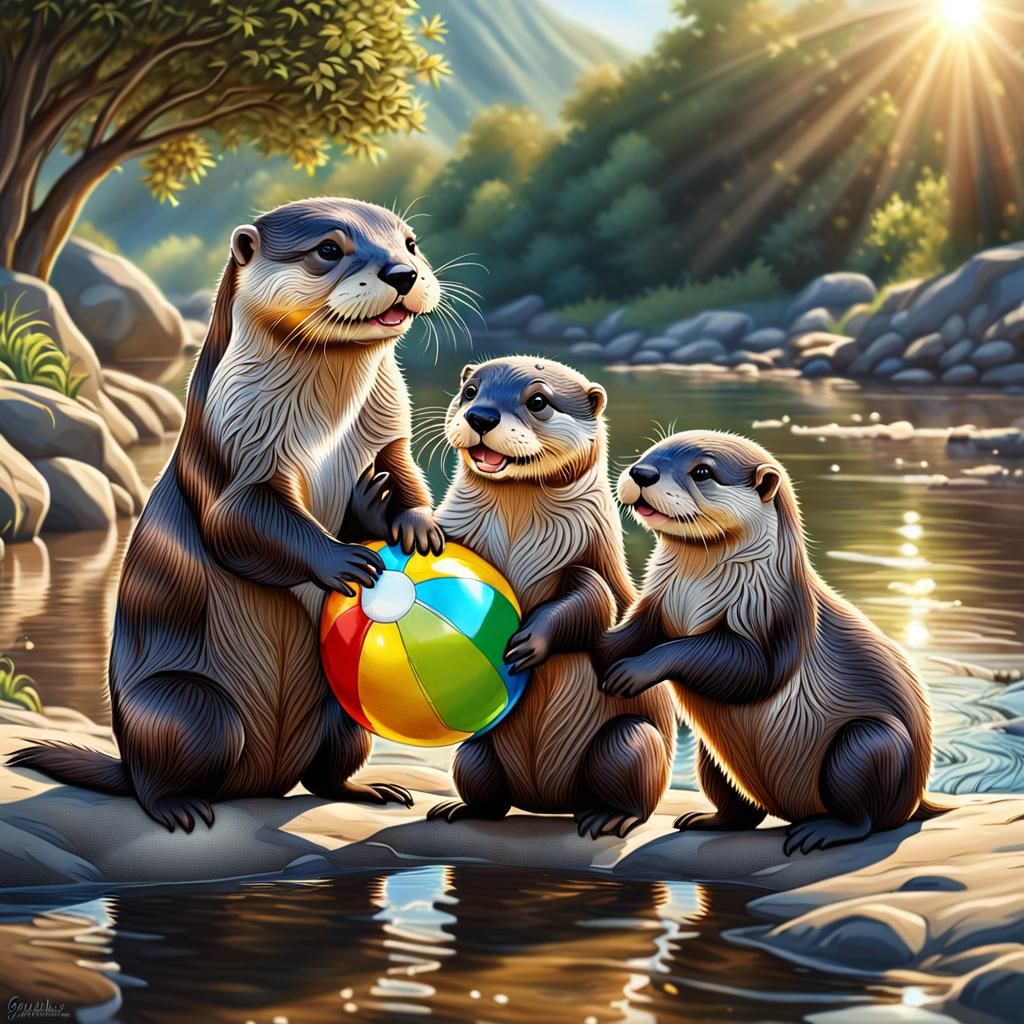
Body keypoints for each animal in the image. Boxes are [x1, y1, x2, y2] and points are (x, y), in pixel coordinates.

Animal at [11, 198, 446, 832]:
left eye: (411, 243)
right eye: (329, 249)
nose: (403, 273)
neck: (329, 434)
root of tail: (263, 780)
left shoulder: (390, 429)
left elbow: (407, 477)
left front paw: (412, 521)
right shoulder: (237, 447)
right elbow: (243, 523)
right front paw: (344, 560)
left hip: (343, 709)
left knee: (327, 768)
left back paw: (371, 790)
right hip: (188, 710)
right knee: (158, 775)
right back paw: (178, 808)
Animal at [426, 357, 676, 839]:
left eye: (538, 400)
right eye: (470, 391)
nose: (481, 416)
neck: (516, 532)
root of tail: (547, 804)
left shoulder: (588, 557)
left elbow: (593, 603)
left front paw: (529, 643)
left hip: (631, 743)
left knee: (635, 784)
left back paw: (611, 817)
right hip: (473, 752)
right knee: (484, 789)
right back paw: (461, 810)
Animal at [600, 429, 945, 854]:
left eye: (702, 471)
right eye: (650, 453)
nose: (642, 472)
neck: (693, 593)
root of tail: (919, 794)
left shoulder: (777, 619)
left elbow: (743, 668)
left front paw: (636, 670)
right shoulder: (658, 603)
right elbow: (634, 631)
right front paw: (602, 645)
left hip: (870, 746)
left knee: (866, 816)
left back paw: (825, 831)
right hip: (712, 758)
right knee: (741, 808)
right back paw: (707, 819)